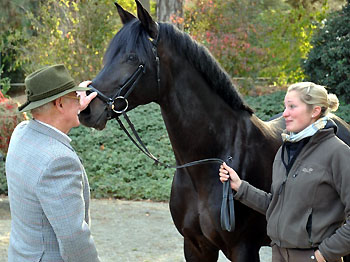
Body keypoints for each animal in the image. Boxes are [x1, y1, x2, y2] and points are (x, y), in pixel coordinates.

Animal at [78, 1, 350, 260]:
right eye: (108, 56)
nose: (87, 109)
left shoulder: (244, 249)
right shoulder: (195, 247)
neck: (212, 158)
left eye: (132, 57)